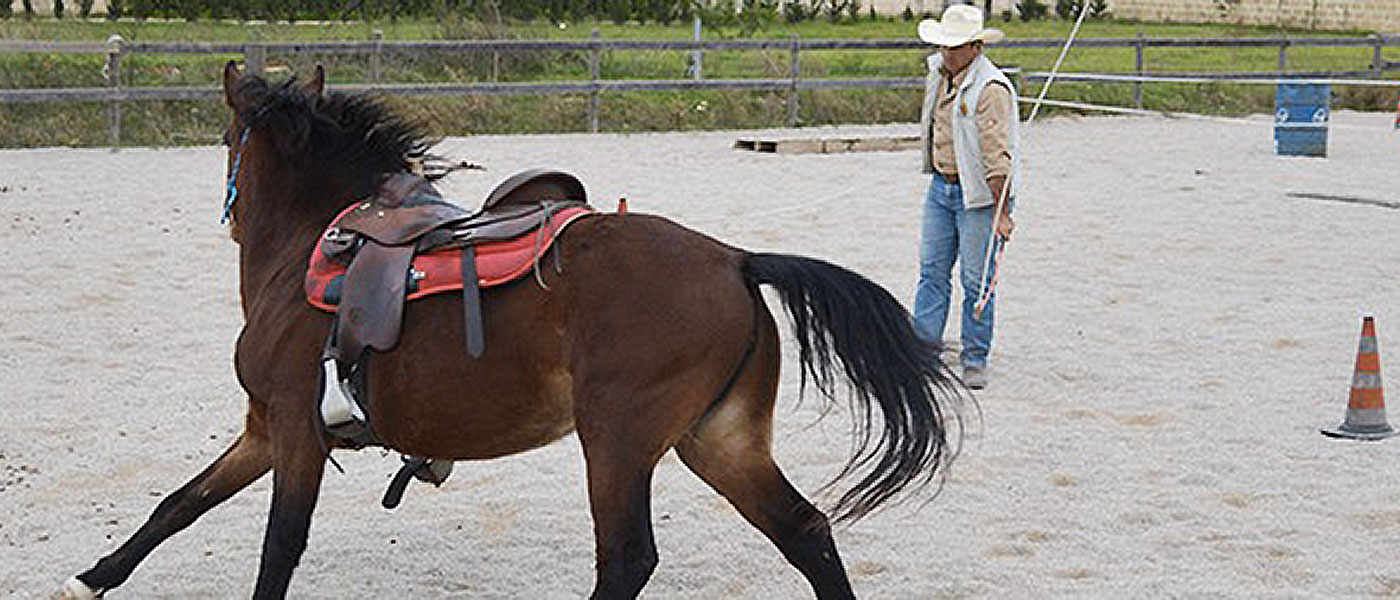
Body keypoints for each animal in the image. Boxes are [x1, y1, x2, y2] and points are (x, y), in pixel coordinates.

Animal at [60, 63, 968, 595]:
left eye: (226, 138)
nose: (228, 207)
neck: (314, 246)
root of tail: (736, 260)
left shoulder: (293, 430)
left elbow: (279, 543)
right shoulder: (261, 429)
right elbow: (179, 503)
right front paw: (97, 574)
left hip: (618, 441)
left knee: (628, 559)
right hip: (720, 440)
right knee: (806, 533)